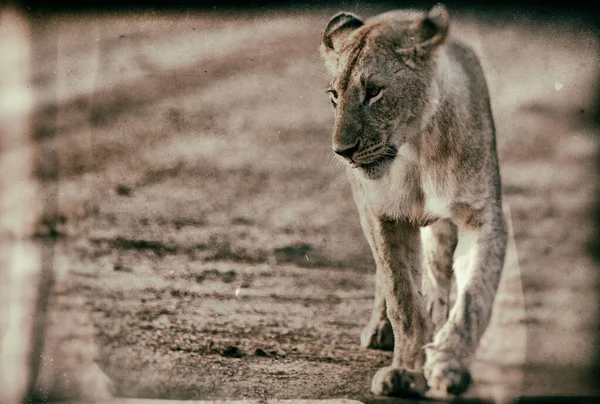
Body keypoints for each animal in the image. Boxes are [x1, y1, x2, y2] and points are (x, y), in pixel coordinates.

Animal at [318, 3, 506, 398]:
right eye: (334, 96)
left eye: (374, 92)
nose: (342, 151)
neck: (418, 148)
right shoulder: (380, 215)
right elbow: (401, 296)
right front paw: (405, 370)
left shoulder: (482, 216)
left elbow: (473, 296)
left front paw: (448, 365)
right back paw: (380, 331)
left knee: (438, 273)